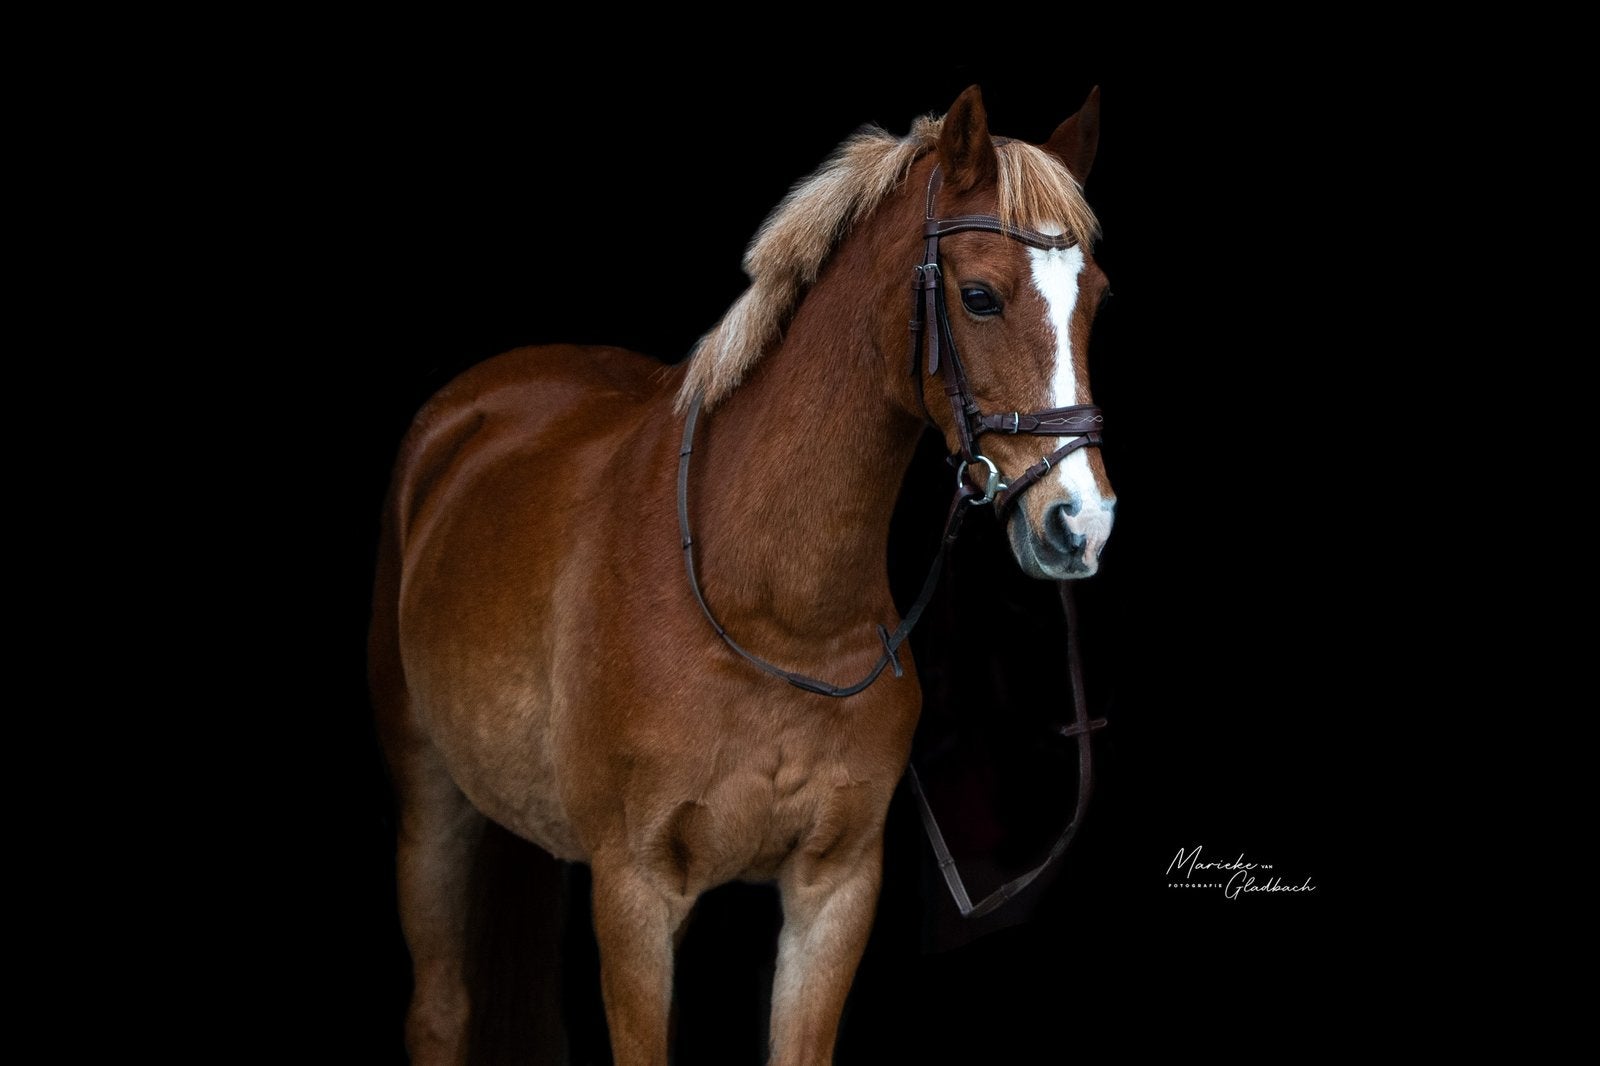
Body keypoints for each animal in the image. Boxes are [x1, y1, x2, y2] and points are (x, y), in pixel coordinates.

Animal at [370, 84, 1115, 1065]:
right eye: (981, 297)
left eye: (1095, 299)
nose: (1080, 523)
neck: (770, 611)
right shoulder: (633, 891)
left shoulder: (834, 890)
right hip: (430, 800)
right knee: (439, 1010)